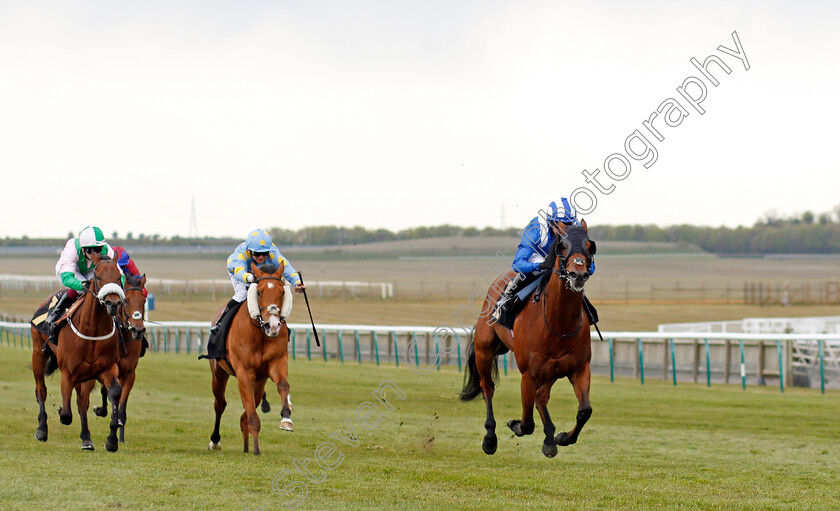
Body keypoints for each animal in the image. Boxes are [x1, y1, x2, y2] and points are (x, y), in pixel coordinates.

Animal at [31, 252, 126, 452]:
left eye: (118, 278)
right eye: (99, 277)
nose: (113, 303)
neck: (92, 329)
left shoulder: (105, 368)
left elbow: (114, 392)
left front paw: (111, 439)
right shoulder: (67, 372)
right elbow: (66, 415)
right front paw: (60, 411)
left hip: (85, 374)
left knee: (82, 402)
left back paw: (87, 439)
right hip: (38, 353)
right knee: (41, 390)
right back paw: (42, 429)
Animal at [90, 272, 148, 444]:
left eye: (144, 301)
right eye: (125, 300)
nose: (138, 330)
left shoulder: (129, 373)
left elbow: (121, 405)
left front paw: (119, 434)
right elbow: (106, 391)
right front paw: (101, 410)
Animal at [208, 264, 294, 456]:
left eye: (282, 292)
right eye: (259, 292)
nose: (273, 325)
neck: (260, 333)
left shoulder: (276, 363)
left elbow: (283, 385)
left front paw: (286, 417)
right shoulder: (244, 373)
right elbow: (252, 416)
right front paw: (256, 450)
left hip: (259, 382)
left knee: (244, 414)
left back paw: (246, 447)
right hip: (219, 373)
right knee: (220, 404)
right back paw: (215, 441)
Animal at [460, 222, 596, 458]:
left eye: (589, 246)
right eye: (562, 246)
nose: (577, 274)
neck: (558, 323)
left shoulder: (578, 368)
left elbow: (584, 410)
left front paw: (561, 437)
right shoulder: (529, 374)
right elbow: (526, 423)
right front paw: (513, 425)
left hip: (552, 370)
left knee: (542, 396)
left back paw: (550, 438)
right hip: (484, 350)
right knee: (488, 387)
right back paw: (490, 438)